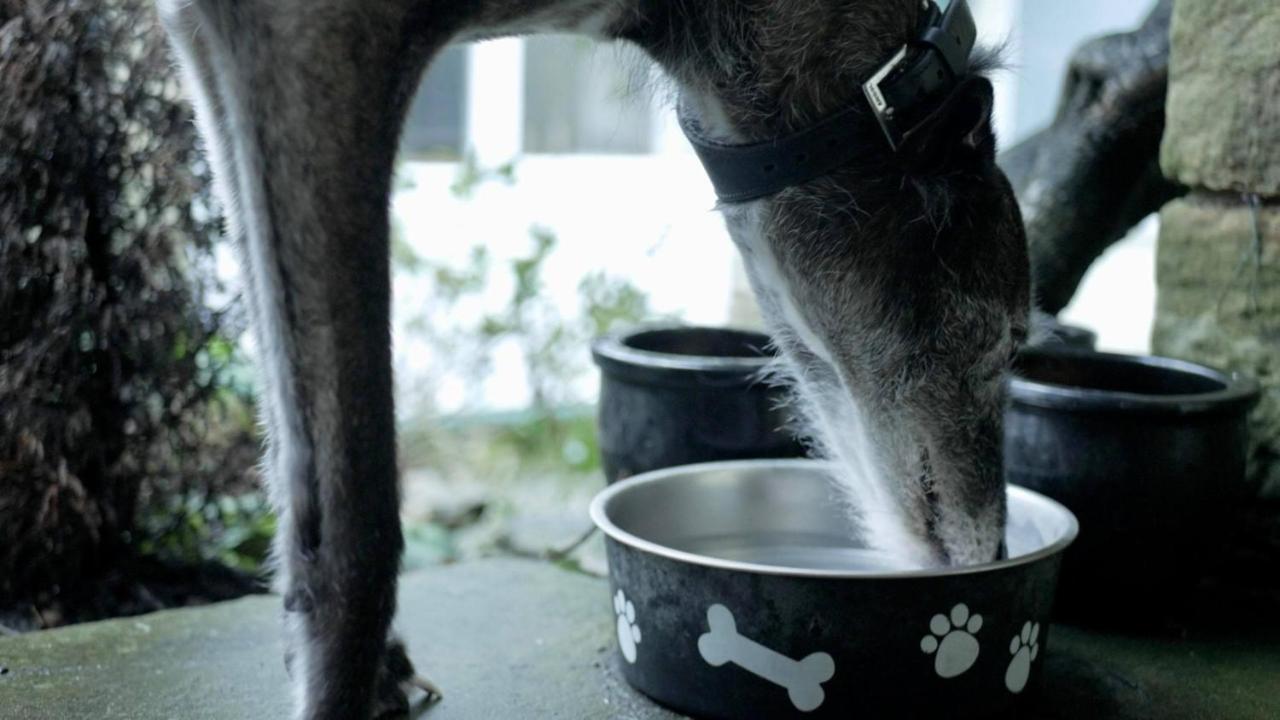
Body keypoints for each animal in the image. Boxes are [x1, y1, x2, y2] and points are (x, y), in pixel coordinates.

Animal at [157, 1, 1029, 712]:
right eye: (1005, 344)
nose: (994, 554)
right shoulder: (306, 42)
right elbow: (354, 525)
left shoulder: (213, 44)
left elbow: (294, 462)